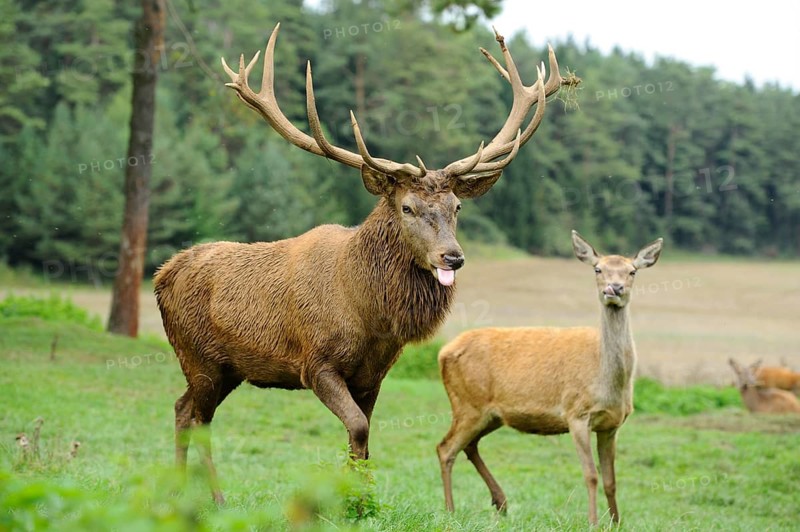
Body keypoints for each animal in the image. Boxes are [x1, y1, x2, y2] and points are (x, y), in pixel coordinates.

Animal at [154, 23, 570, 504]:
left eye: (457, 207)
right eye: (407, 207)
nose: (453, 256)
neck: (369, 315)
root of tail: (162, 274)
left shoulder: (374, 373)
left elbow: (365, 438)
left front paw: (362, 499)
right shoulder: (315, 362)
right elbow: (356, 427)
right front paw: (348, 501)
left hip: (226, 369)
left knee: (182, 408)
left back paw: (181, 492)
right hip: (198, 355)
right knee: (196, 417)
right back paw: (212, 499)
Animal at [436, 231, 663, 525]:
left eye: (632, 271)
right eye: (598, 269)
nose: (614, 288)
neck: (608, 383)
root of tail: (443, 352)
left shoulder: (611, 425)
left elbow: (611, 480)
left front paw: (615, 523)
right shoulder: (576, 413)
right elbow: (591, 475)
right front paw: (592, 522)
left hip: (489, 414)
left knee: (469, 445)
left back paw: (500, 502)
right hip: (467, 403)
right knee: (445, 448)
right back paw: (450, 510)